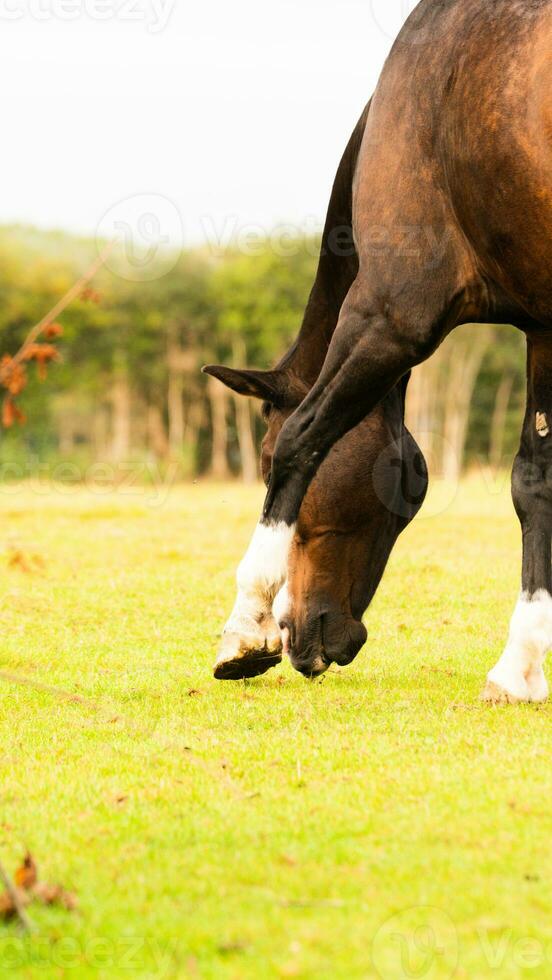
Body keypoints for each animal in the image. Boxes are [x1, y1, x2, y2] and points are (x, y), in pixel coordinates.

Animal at [205, 0, 552, 704]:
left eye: (260, 462)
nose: (308, 640)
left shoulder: (388, 315)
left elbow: (306, 436)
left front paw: (245, 628)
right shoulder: (543, 326)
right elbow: (535, 482)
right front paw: (520, 665)